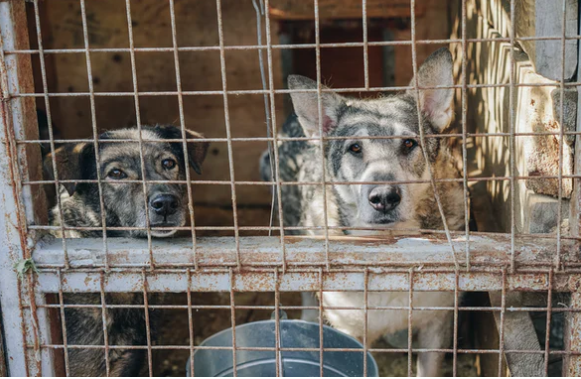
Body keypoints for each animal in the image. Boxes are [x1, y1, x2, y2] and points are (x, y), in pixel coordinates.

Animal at [260, 48, 464, 378]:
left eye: (409, 143)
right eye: (355, 148)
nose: (384, 197)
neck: (388, 248)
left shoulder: (437, 323)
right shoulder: (351, 335)